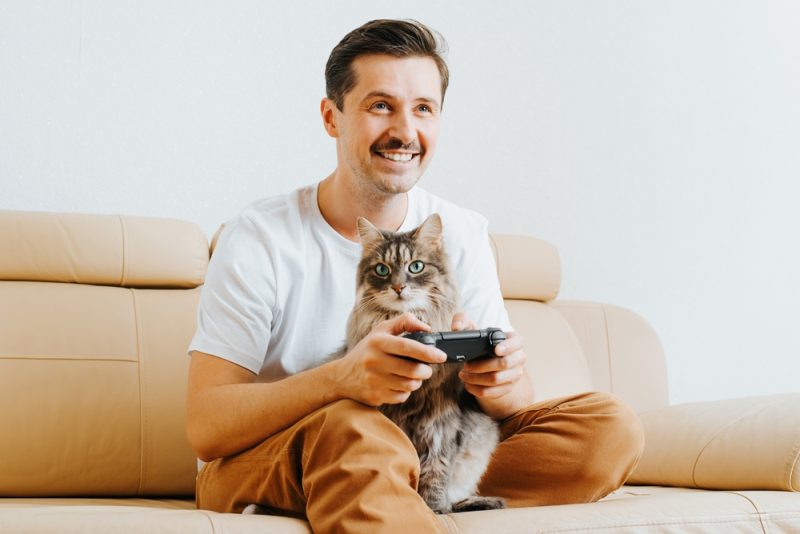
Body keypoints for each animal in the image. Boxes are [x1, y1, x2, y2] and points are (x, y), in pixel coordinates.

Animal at [344, 214, 506, 516]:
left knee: (456, 495)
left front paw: (433, 510)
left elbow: (435, 472)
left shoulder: (440, 425)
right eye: (382, 270)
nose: (398, 287)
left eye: (416, 266)